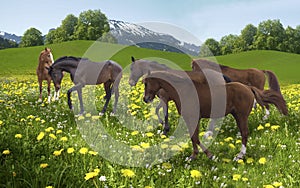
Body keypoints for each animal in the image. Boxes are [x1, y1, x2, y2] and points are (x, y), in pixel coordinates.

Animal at [143, 70, 288, 162]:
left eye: (146, 83)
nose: (146, 99)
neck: (184, 91)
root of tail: (248, 88)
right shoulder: (190, 118)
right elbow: (193, 137)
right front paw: (193, 156)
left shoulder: (193, 117)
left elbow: (195, 138)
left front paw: (210, 156)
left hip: (241, 116)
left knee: (245, 133)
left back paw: (239, 156)